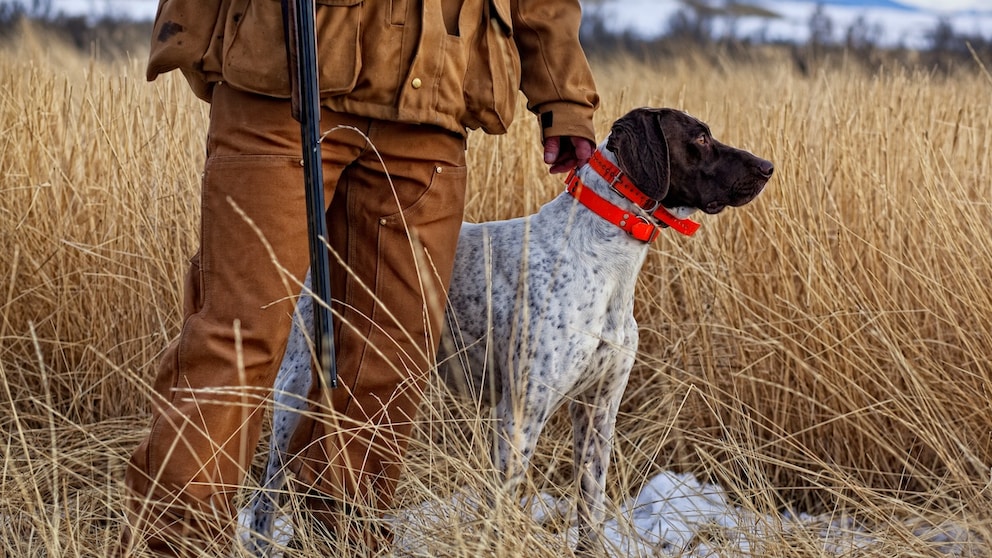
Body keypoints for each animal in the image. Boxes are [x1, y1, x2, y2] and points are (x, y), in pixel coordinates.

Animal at [248, 107, 776, 556]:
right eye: (700, 137)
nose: (768, 166)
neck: (606, 262)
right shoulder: (521, 413)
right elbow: (499, 509)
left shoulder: (598, 411)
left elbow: (590, 509)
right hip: (293, 394)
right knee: (263, 502)